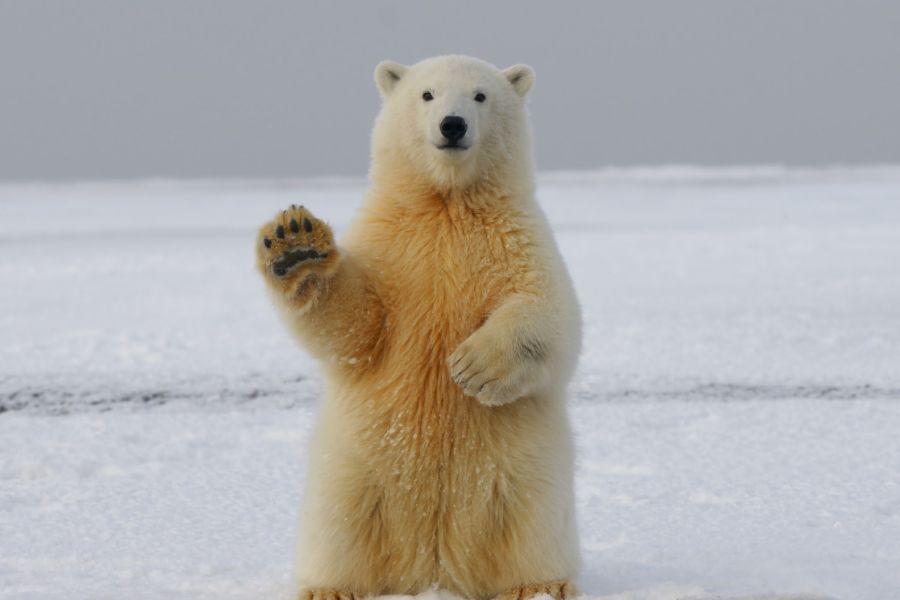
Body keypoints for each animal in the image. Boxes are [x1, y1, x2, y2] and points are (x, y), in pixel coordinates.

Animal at [255, 55, 582, 600]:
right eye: (427, 94)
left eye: (480, 96)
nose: (452, 125)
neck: (446, 204)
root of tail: (433, 567)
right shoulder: (391, 247)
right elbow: (356, 325)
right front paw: (295, 244)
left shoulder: (518, 239)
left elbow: (551, 314)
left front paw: (473, 366)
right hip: (353, 471)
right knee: (339, 527)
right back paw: (330, 588)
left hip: (524, 474)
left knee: (531, 525)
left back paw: (538, 586)